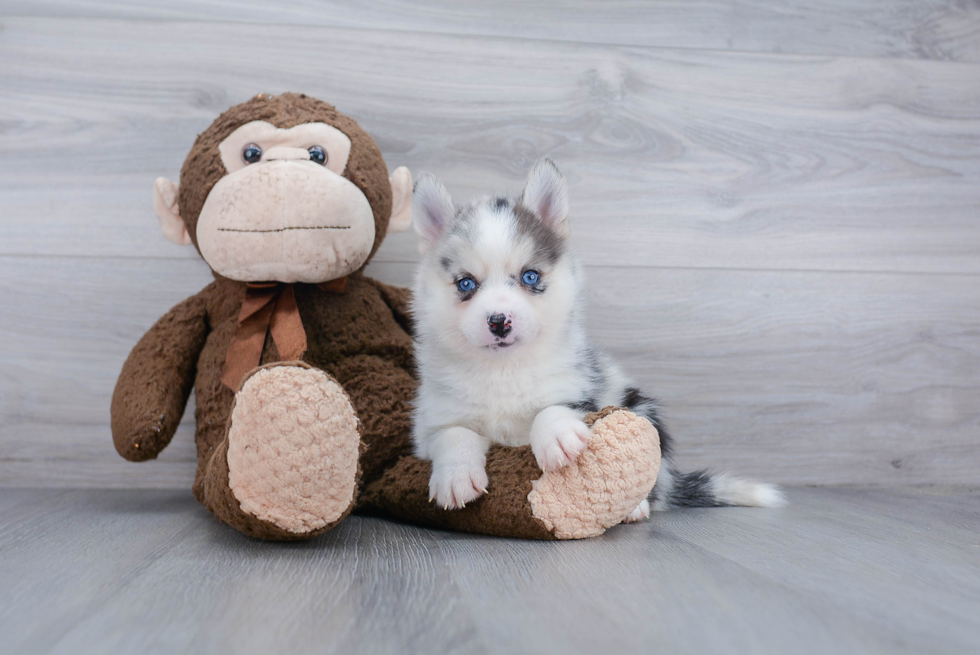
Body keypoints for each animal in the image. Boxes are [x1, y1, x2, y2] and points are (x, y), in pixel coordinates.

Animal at [410, 156, 784, 520]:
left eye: (530, 276)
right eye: (466, 283)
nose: (500, 322)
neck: (504, 371)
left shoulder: (579, 390)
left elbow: (553, 408)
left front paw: (557, 436)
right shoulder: (431, 422)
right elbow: (453, 435)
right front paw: (455, 477)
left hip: (639, 408)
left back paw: (636, 508)